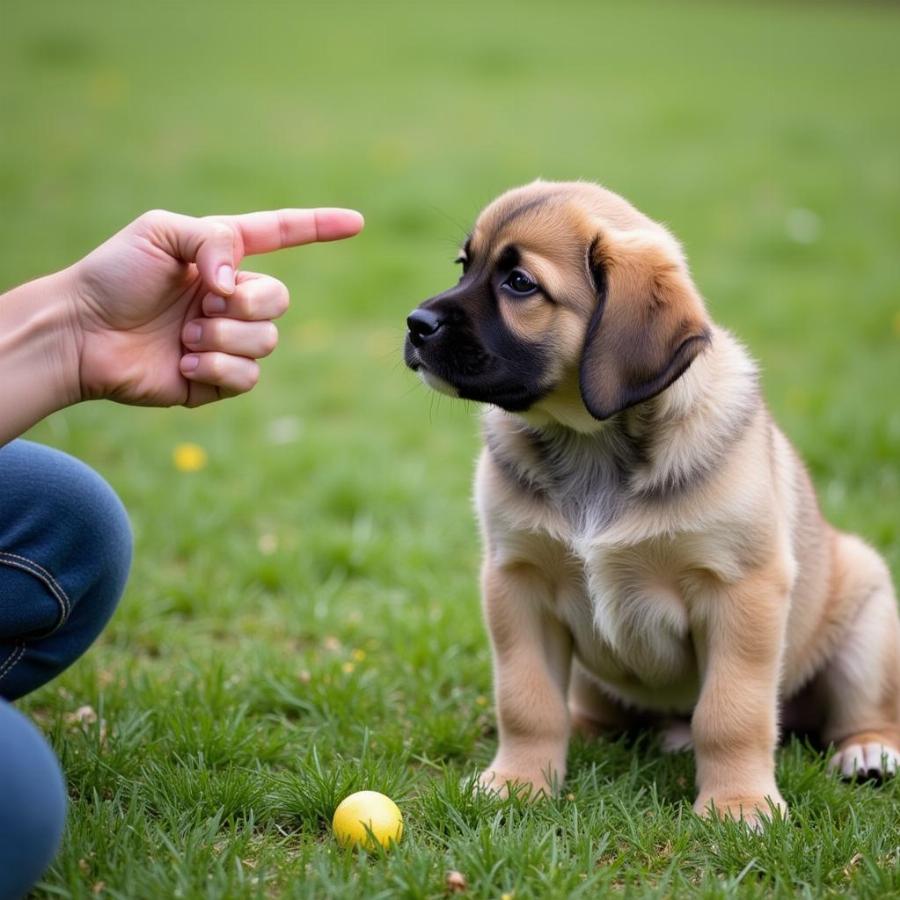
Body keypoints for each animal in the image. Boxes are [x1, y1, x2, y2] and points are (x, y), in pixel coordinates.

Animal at [406, 179, 900, 828]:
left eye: (519, 283)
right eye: (466, 265)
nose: (415, 324)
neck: (591, 444)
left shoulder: (740, 589)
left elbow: (731, 712)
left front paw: (738, 804)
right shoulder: (518, 581)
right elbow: (527, 700)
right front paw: (518, 782)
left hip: (868, 621)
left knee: (863, 713)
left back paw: (867, 750)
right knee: (585, 709)